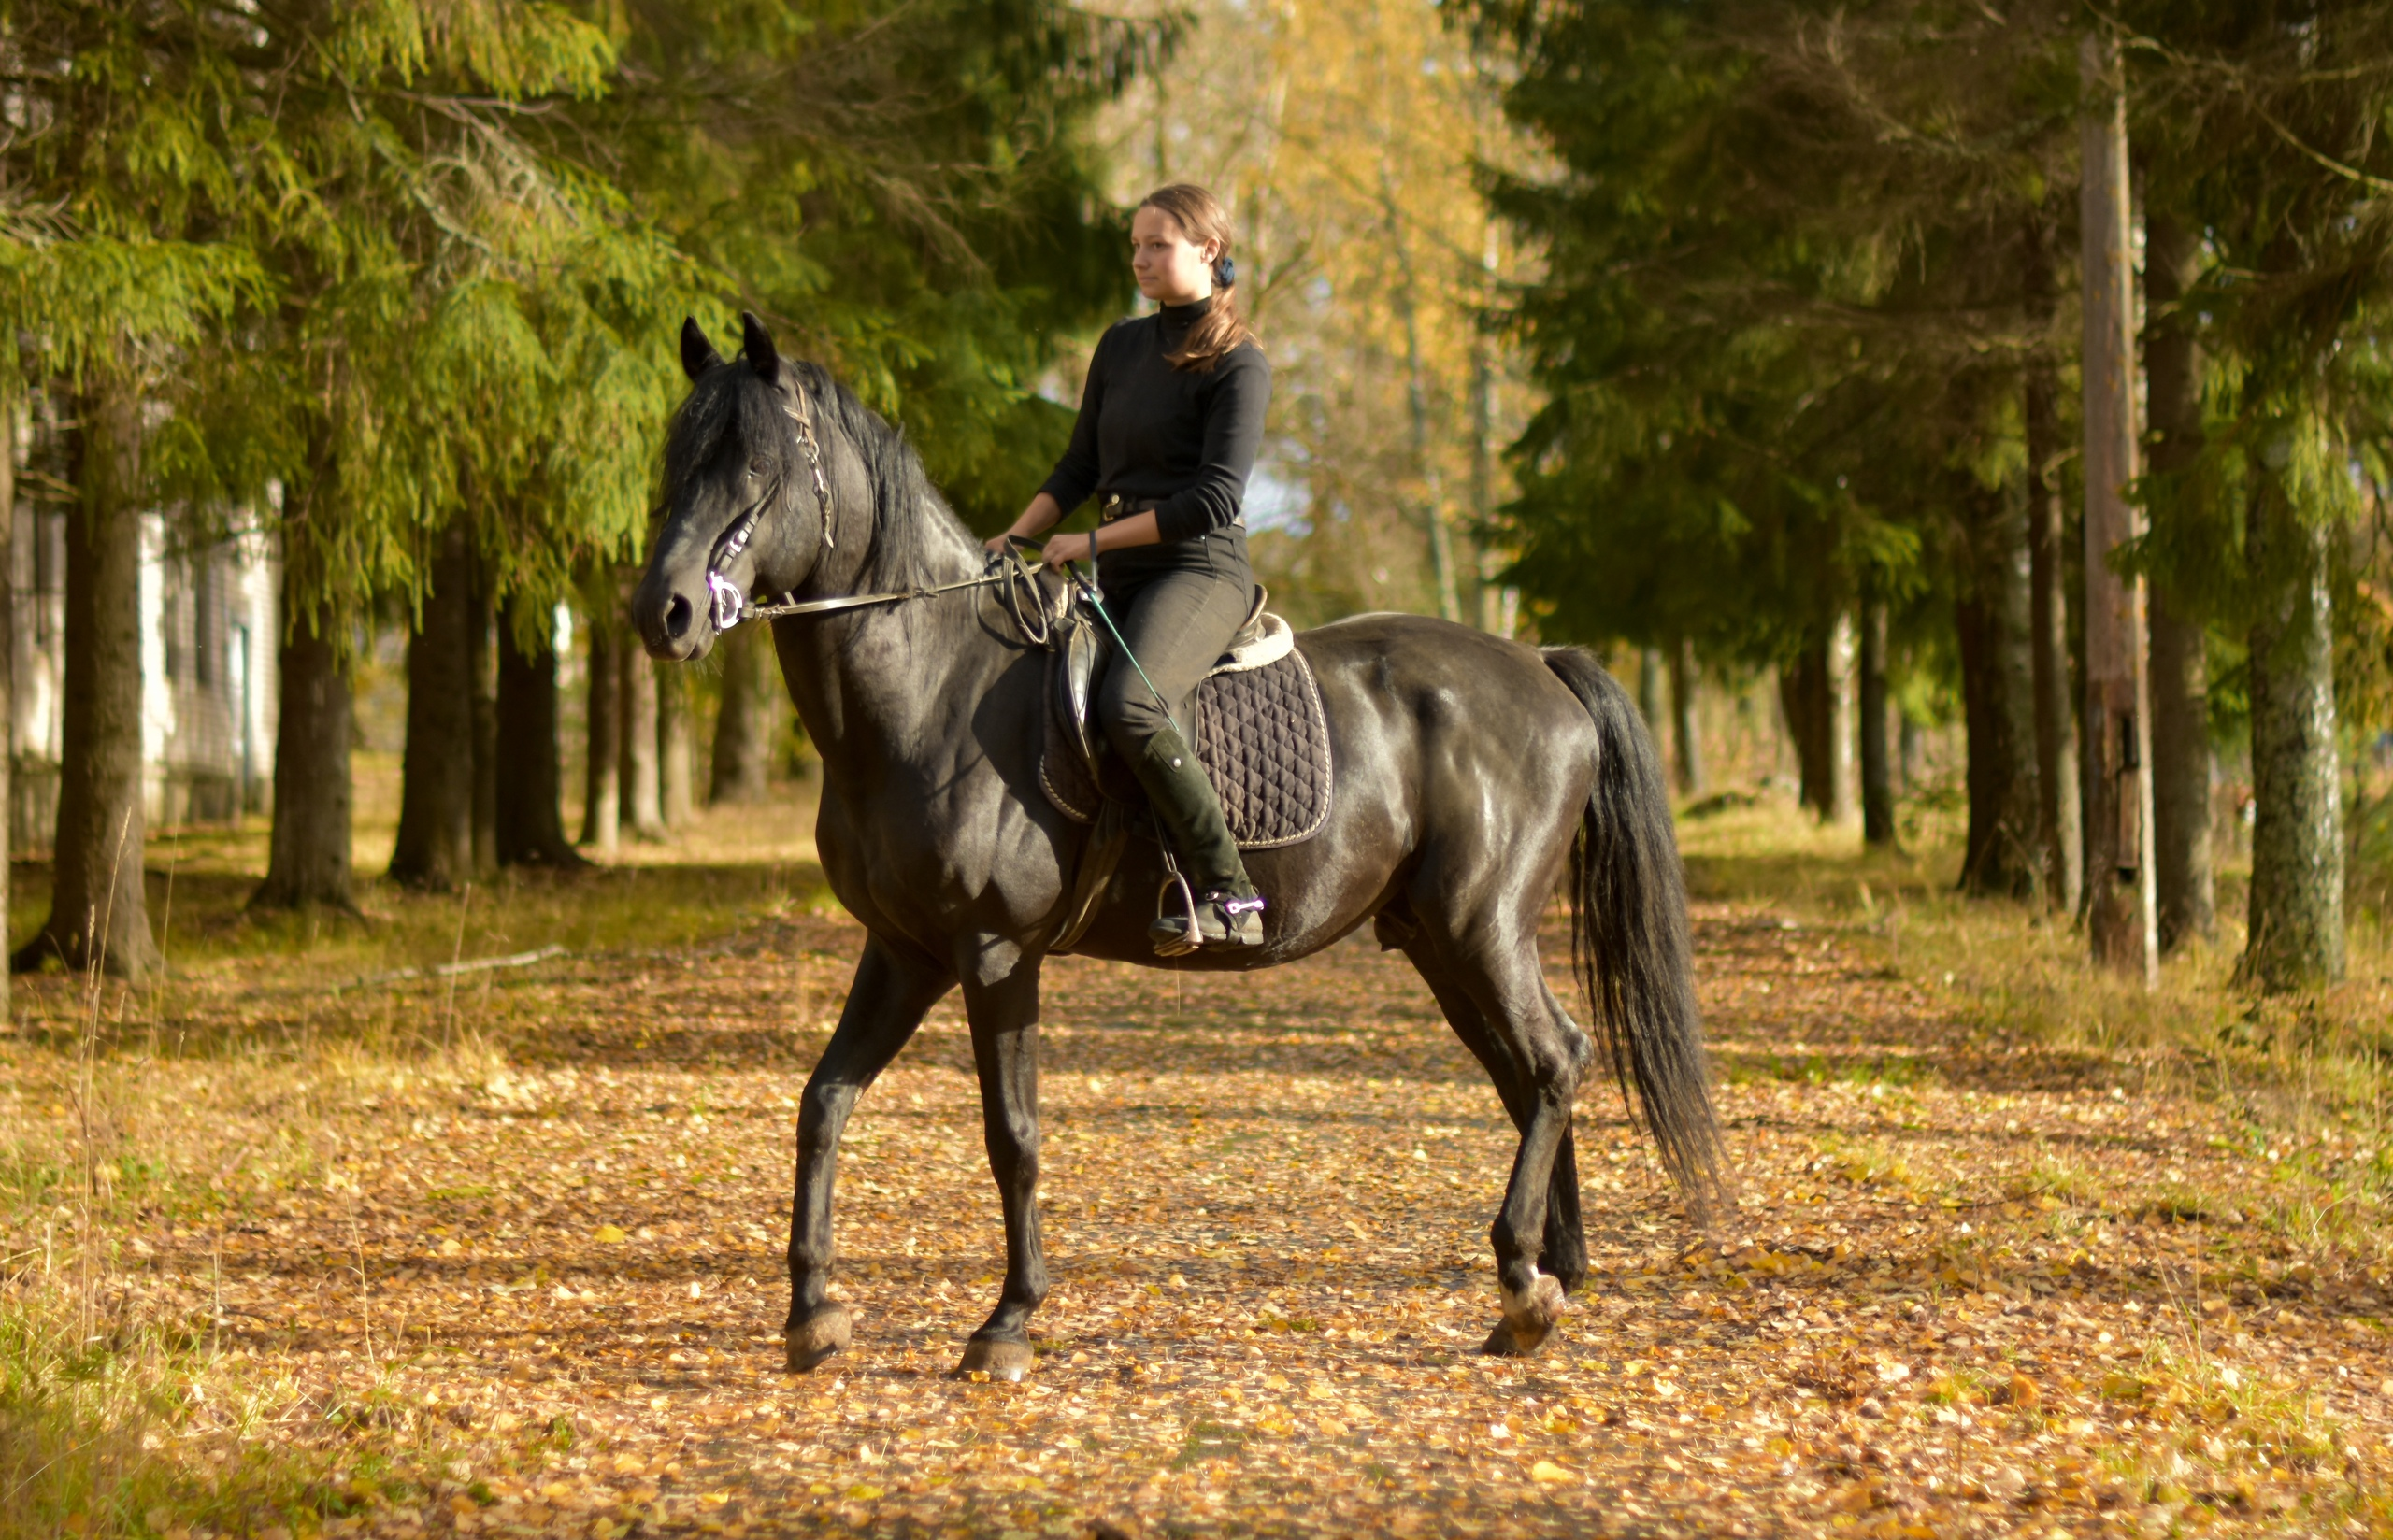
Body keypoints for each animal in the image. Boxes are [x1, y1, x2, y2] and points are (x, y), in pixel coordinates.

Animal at [636, 315, 1723, 1387]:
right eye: (677, 457)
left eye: (756, 464)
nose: (664, 613)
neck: (935, 686)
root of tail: (1539, 662)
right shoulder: (903, 951)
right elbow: (822, 1102)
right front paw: (813, 1315)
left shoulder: (994, 952)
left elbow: (1011, 1135)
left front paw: (1007, 1322)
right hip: (1437, 941)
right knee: (1529, 1073)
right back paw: (1541, 1281)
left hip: (1480, 926)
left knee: (1554, 1057)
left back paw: (1524, 1282)